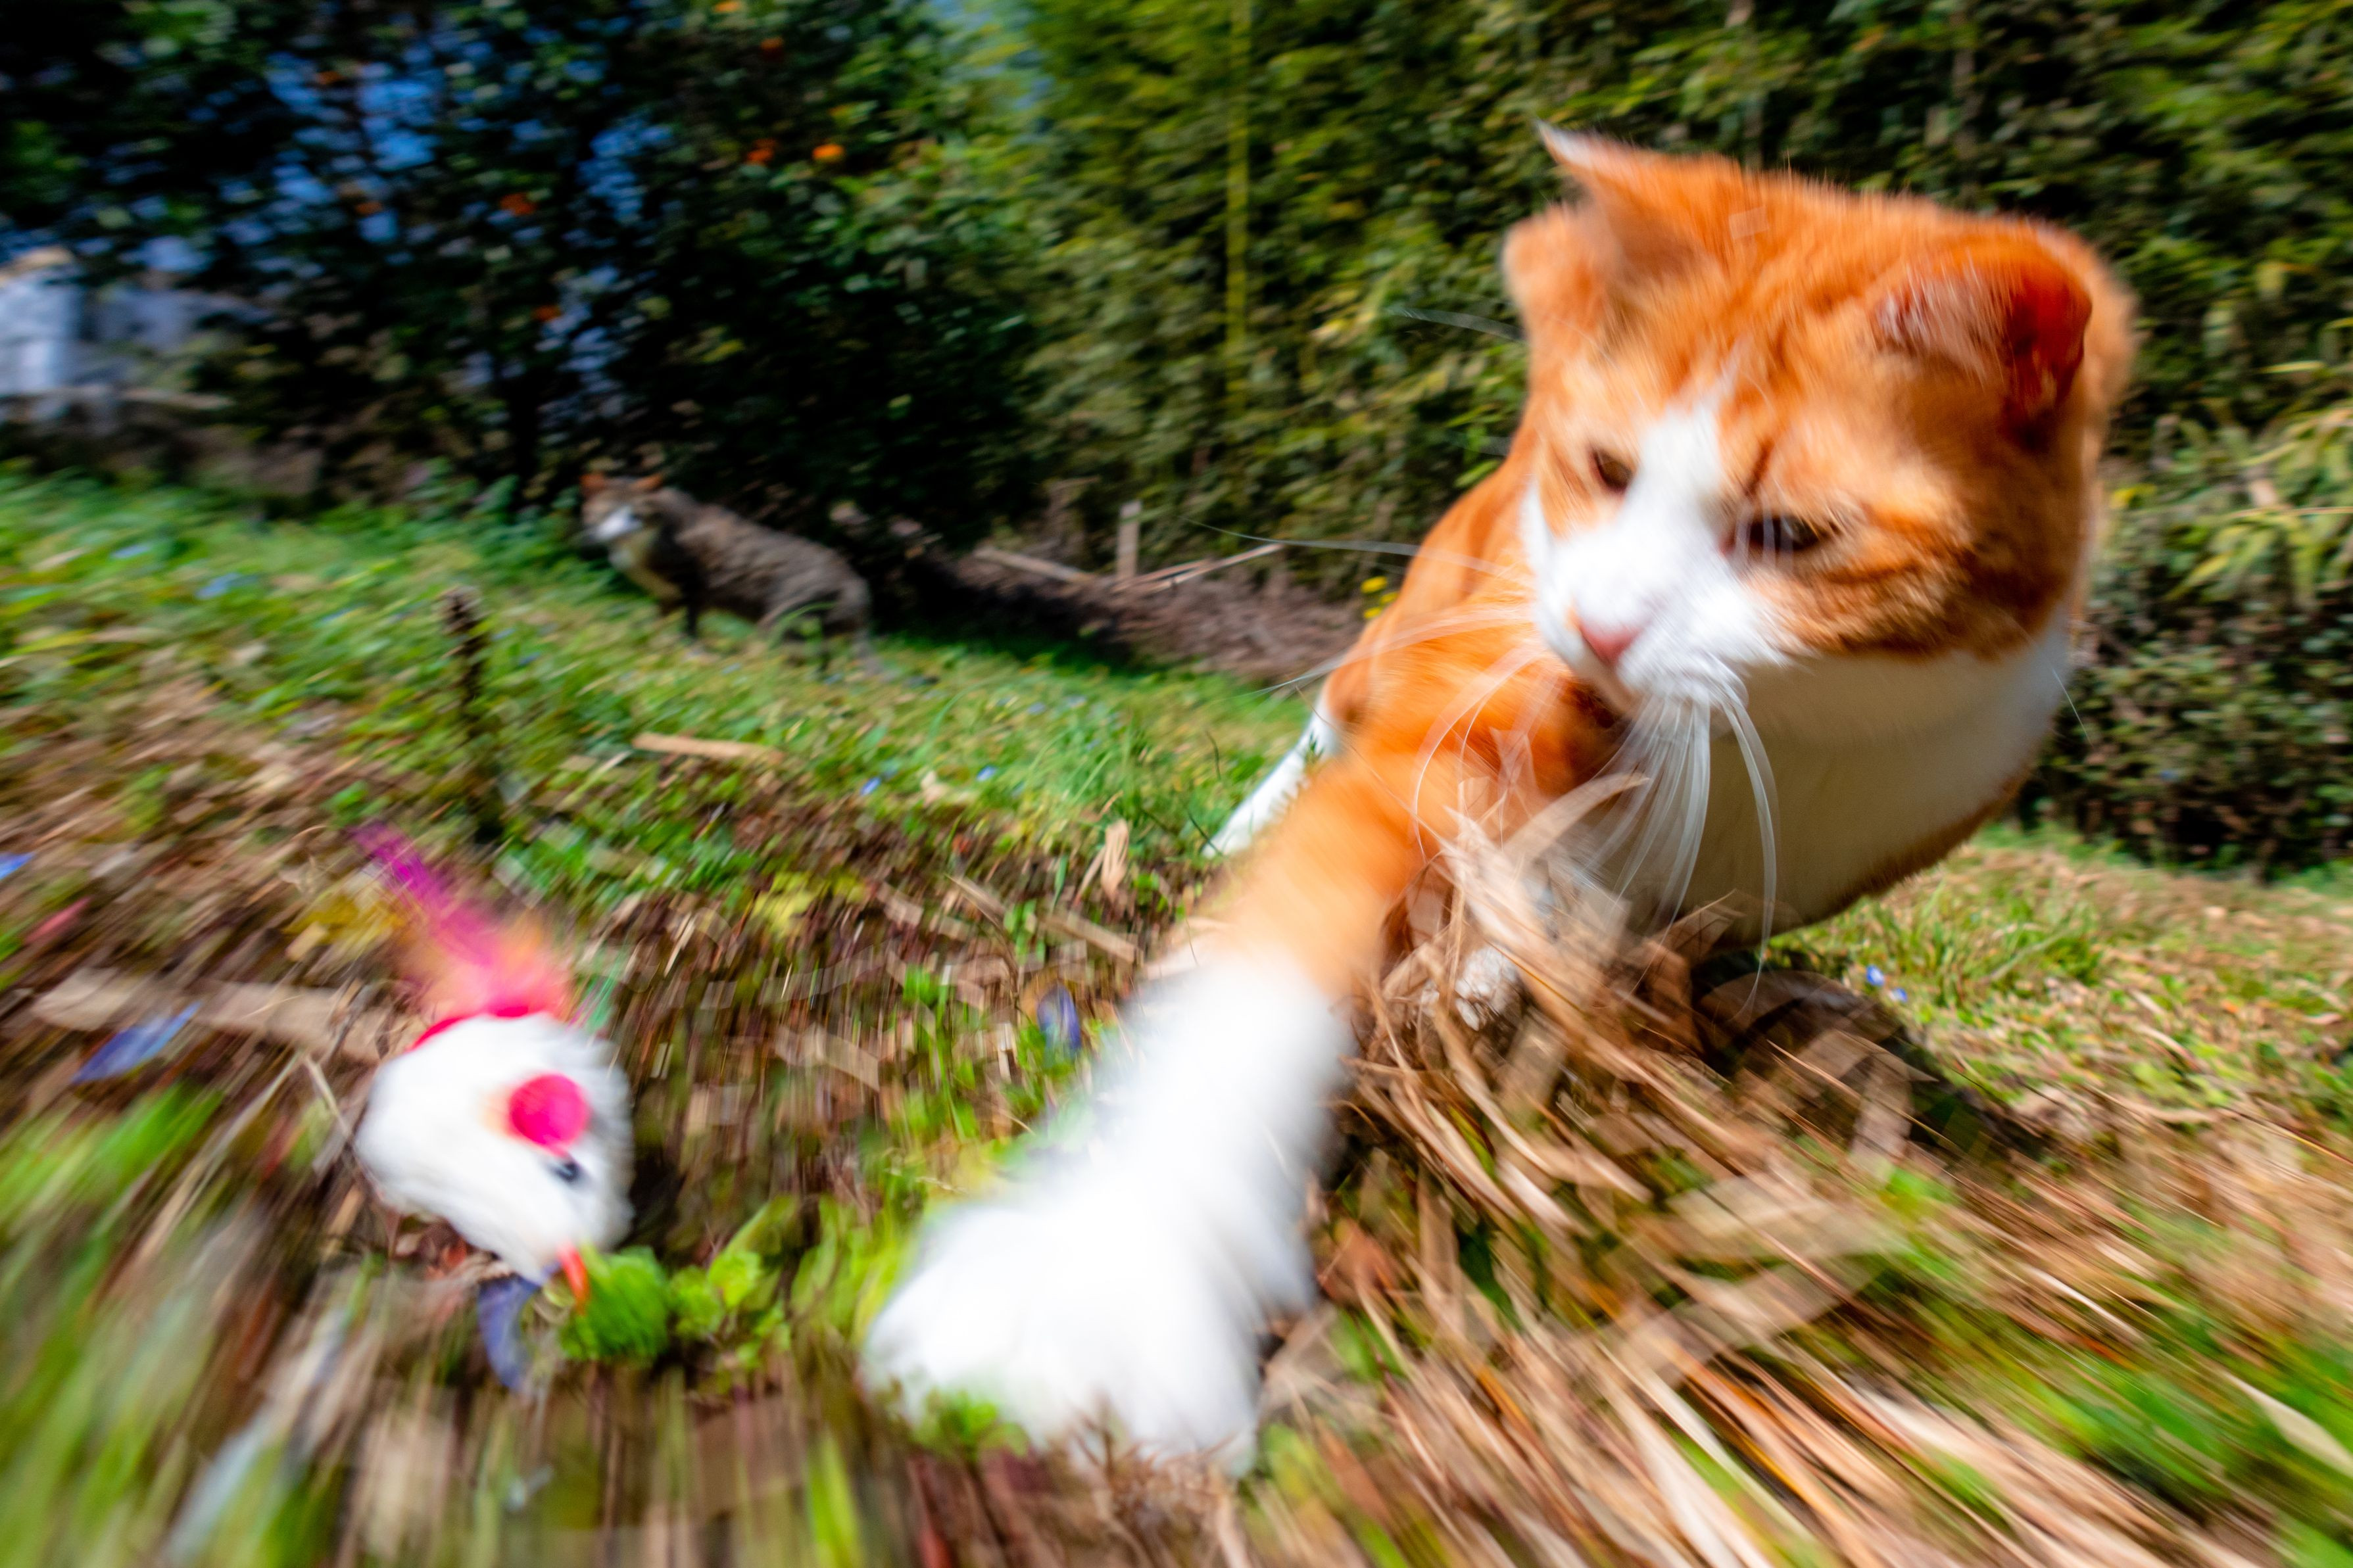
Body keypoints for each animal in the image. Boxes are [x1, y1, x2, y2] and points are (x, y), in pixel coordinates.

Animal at [579, 474, 872, 646]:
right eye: (608, 513)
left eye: (636, 515)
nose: (623, 530)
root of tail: (856, 583)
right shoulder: (667, 596)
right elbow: (659, 620)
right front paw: (651, 636)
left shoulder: (696, 586)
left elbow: (690, 624)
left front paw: (688, 646)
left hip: (781, 615)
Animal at [865, 132, 2135, 1467]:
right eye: (1609, 470)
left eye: (1788, 534)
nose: (1599, 626)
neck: (1790, 735)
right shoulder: (1486, 697)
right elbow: (1297, 938)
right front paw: (1105, 1272)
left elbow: (1628, 926)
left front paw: (1528, 979)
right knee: (1336, 718)